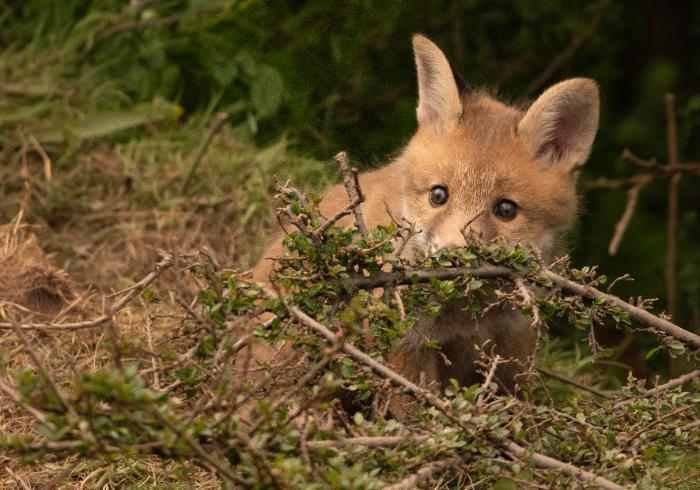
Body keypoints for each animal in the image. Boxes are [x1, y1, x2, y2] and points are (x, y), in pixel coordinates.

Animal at [251, 34, 599, 417]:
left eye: (506, 209)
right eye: (438, 195)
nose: (455, 257)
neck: (467, 319)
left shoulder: (509, 349)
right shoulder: (405, 347)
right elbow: (419, 417)